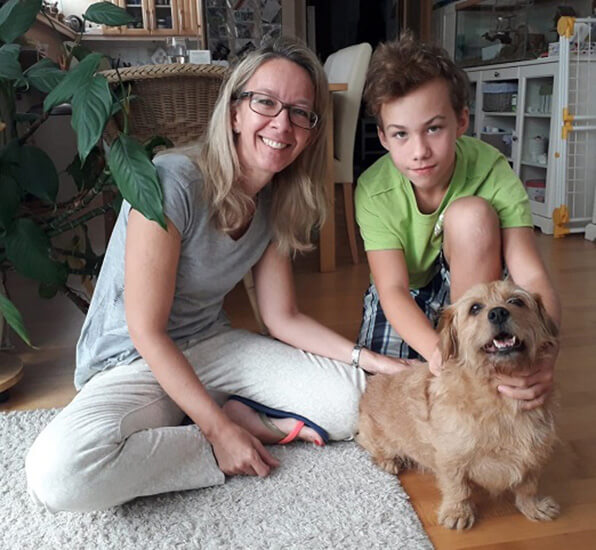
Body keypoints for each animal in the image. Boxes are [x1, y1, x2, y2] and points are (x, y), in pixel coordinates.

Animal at [357, 280, 560, 530]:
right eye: (475, 308)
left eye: (516, 301)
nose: (498, 312)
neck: (498, 398)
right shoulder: (450, 457)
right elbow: (457, 488)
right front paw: (458, 512)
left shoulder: (533, 453)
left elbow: (528, 487)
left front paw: (533, 506)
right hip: (378, 439)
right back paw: (388, 461)